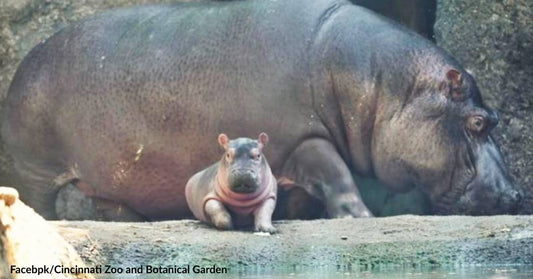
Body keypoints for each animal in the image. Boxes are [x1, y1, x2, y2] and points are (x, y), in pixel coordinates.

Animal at [1, 0, 524, 221]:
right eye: (477, 122)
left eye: (497, 119)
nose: (518, 195)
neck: (382, 86)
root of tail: (24, 63)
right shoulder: (305, 138)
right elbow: (338, 177)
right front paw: (362, 218)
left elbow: (301, 193)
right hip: (34, 166)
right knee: (37, 200)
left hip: (112, 177)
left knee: (112, 204)